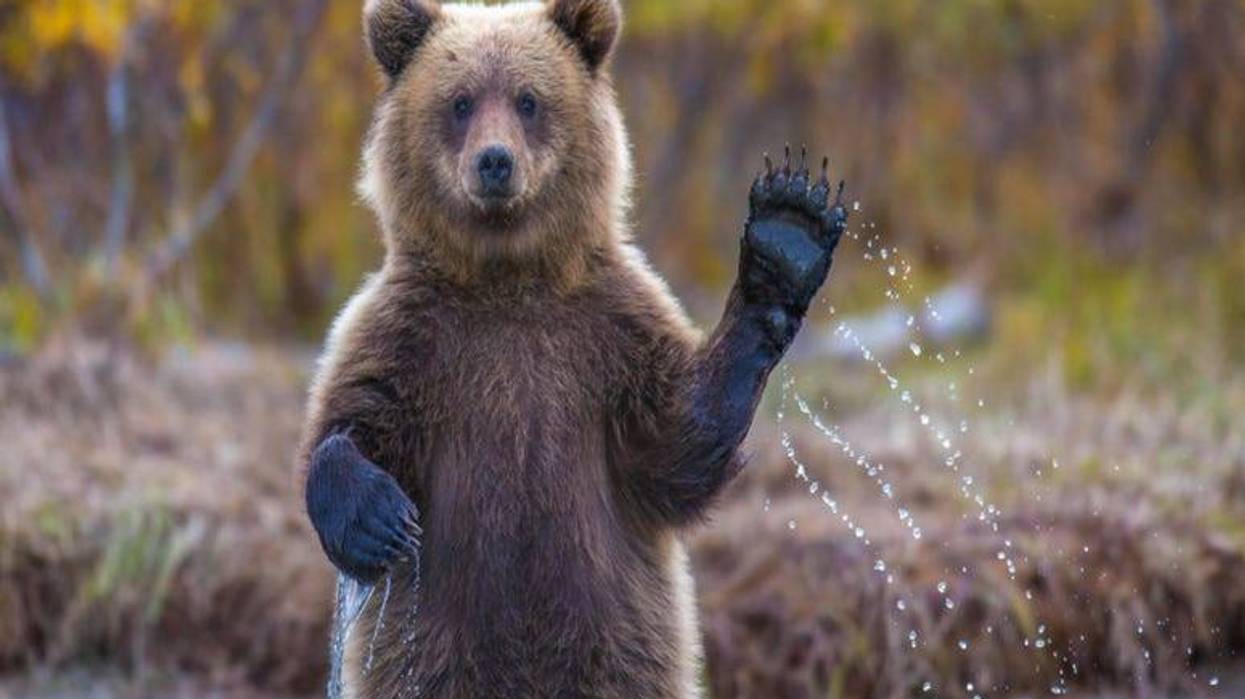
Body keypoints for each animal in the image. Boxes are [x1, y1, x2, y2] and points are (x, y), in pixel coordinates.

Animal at [299, 0, 848, 697]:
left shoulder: (609, 331)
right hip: (430, 652)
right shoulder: (410, 334)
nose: (495, 162)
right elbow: (352, 418)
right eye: (460, 101)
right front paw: (376, 520)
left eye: (529, 99)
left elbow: (677, 444)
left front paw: (787, 234)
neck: (508, 277)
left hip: (619, 648)